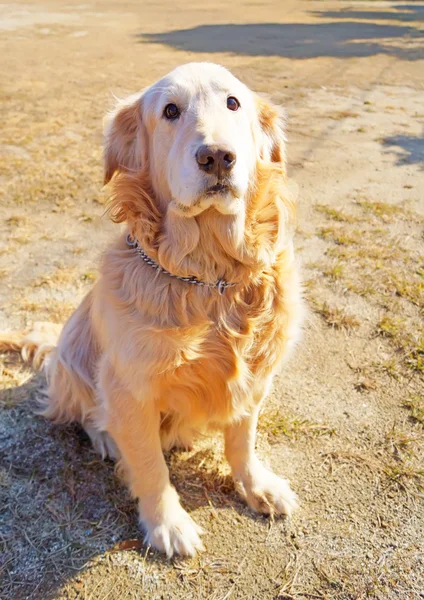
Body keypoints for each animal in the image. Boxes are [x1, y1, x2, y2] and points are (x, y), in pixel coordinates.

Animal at [1, 62, 304, 556]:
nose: (217, 157)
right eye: (170, 111)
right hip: (73, 358)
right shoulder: (129, 388)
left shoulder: (257, 375)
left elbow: (243, 439)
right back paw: (105, 438)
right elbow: (148, 464)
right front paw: (168, 523)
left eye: (233, 103)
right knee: (87, 413)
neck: (209, 278)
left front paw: (257, 485)